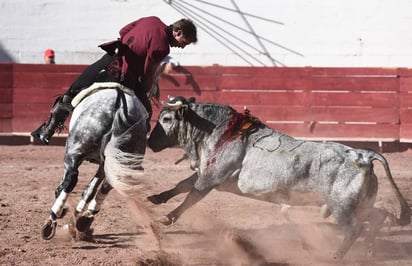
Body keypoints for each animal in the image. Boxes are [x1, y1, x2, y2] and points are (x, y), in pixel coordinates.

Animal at [39, 83, 148, 241]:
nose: (43, 134)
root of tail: (120, 107)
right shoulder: (104, 165)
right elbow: (90, 190)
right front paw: (77, 218)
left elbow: (68, 185)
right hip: (120, 159)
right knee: (106, 185)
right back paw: (84, 221)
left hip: (75, 151)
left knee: (71, 179)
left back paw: (52, 220)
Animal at [146, 96, 410, 260]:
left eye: (167, 119)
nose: (149, 142)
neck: (217, 130)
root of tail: (362, 154)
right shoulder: (208, 174)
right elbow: (182, 185)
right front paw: (157, 198)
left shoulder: (211, 178)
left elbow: (191, 196)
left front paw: (167, 217)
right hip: (360, 204)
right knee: (378, 216)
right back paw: (369, 251)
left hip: (341, 206)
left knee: (355, 228)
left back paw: (335, 256)